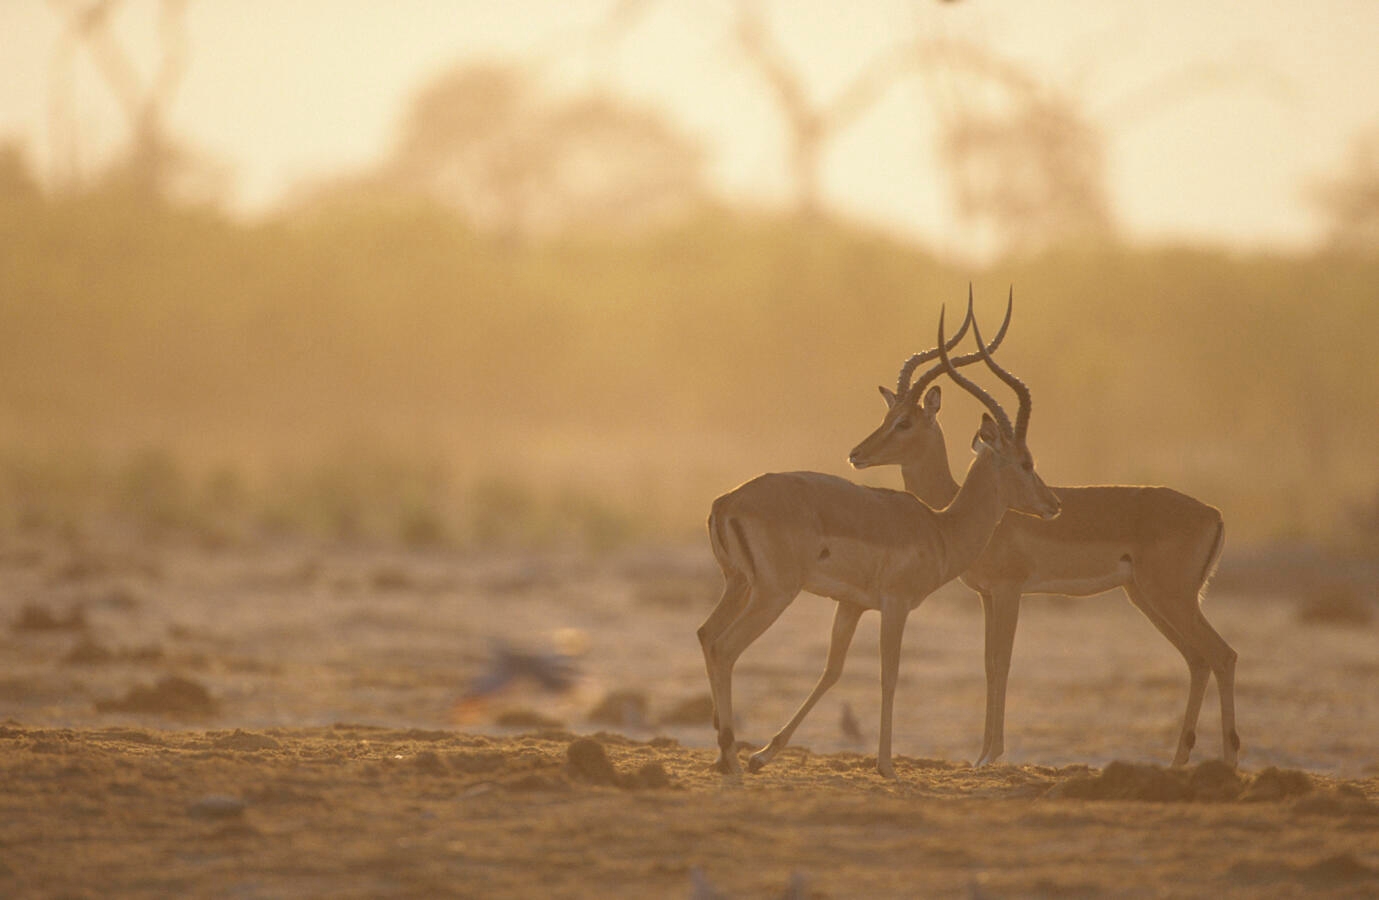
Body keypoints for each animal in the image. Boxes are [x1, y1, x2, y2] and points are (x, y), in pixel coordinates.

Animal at [700, 303, 1053, 777]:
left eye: (901, 421)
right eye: (1026, 462)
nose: (1052, 503)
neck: (939, 527)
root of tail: (726, 501)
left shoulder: (851, 604)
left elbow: (832, 670)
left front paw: (764, 754)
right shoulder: (896, 604)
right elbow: (890, 674)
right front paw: (886, 765)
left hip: (738, 585)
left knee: (706, 635)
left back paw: (728, 757)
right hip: (773, 593)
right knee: (724, 647)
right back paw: (731, 763)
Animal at [761, 286, 1235, 766]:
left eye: (905, 422)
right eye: (888, 416)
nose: (857, 454)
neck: (955, 505)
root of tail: (1213, 513)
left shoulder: (1010, 589)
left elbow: (1002, 663)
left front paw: (990, 756)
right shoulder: (987, 594)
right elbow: (989, 664)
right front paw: (983, 754)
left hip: (1170, 597)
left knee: (1223, 655)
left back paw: (1227, 762)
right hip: (1147, 596)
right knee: (1199, 659)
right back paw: (1179, 765)